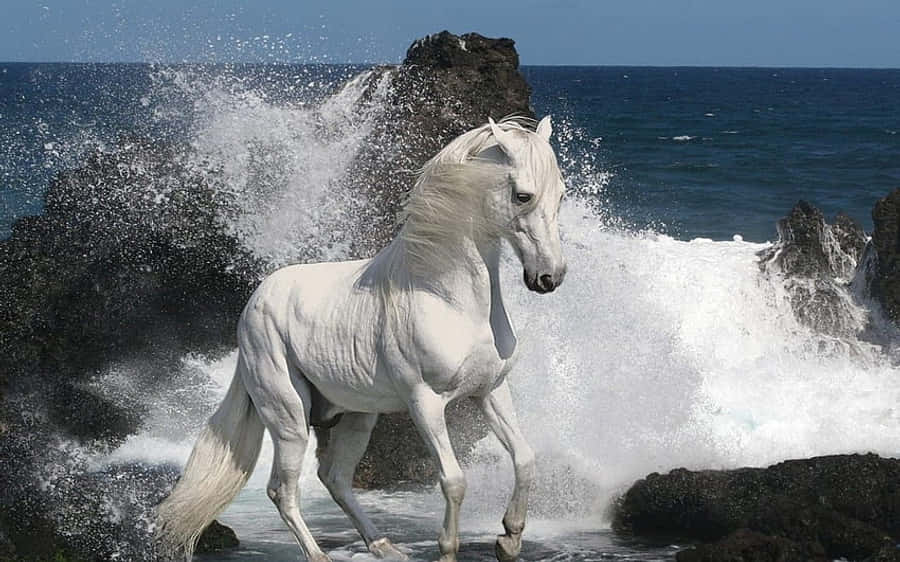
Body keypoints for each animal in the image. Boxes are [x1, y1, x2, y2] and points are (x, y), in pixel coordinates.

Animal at [155, 115, 567, 562]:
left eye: (561, 194)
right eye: (522, 195)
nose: (549, 278)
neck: (447, 297)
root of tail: (253, 303)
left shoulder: (490, 390)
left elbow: (524, 459)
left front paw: (509, 539)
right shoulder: (424, 403)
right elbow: (454, 481)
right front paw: (450, 549)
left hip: (356, 415)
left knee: (334, 477)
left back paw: (385, 547)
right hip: (289, 418)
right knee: (283, 490)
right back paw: (320, 555)